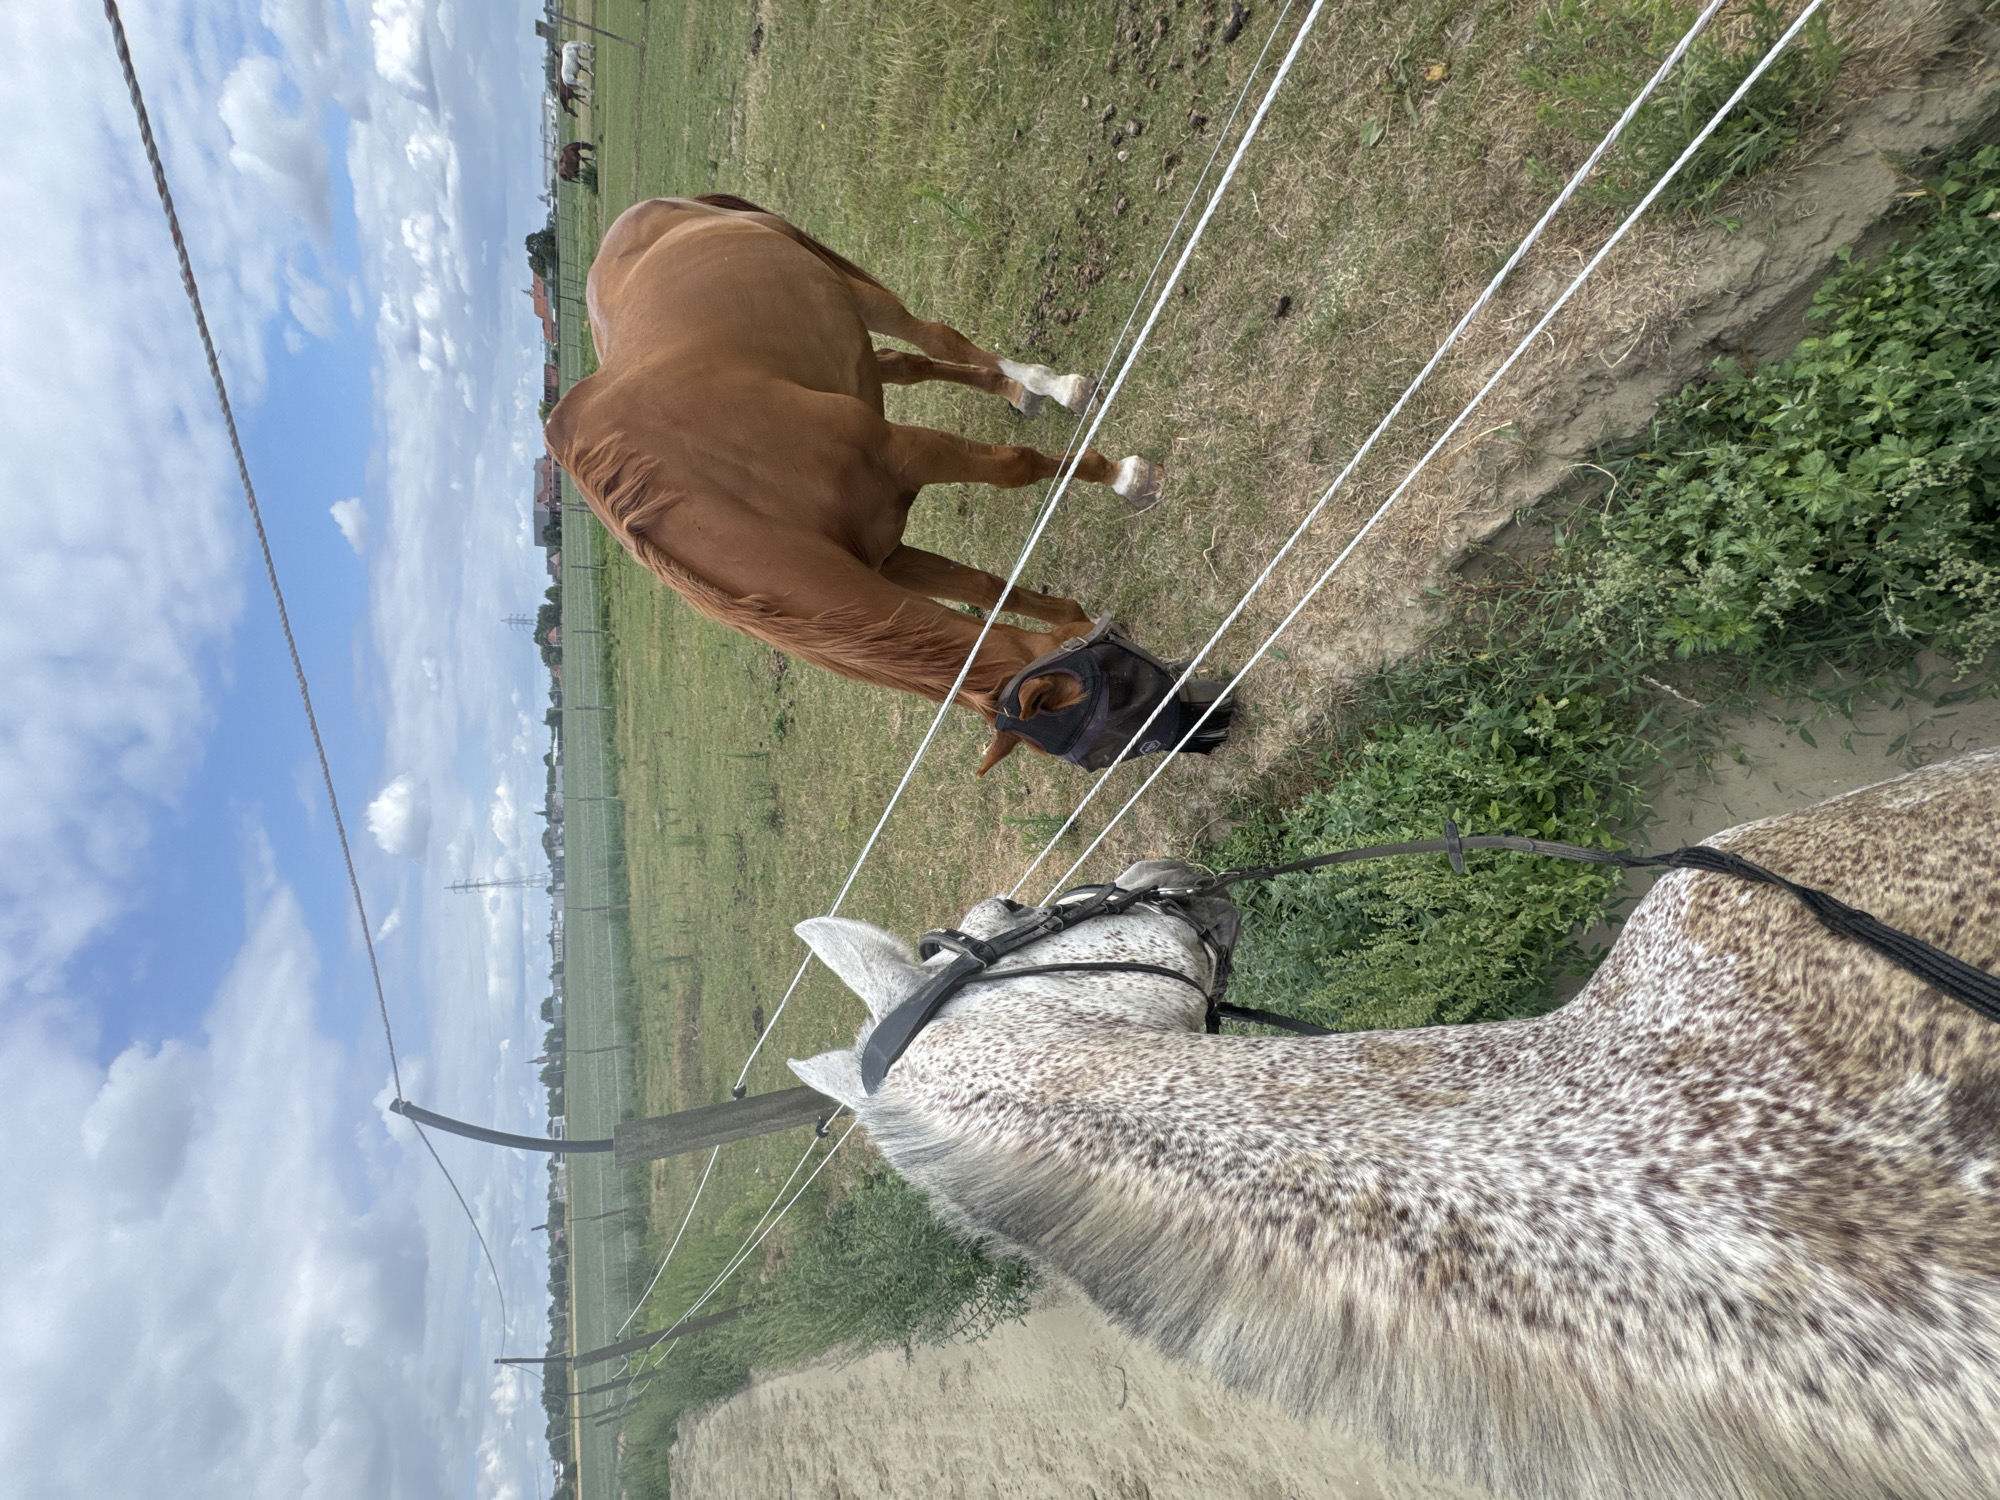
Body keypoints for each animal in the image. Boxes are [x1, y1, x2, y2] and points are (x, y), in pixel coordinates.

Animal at [545, 194, 1229, 774]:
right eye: (1119, 728)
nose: (1215, 726)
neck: (720, 495)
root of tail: (647, 211)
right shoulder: (887, 557)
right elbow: (986, 590)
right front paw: (1073, 614)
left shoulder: (907, 454)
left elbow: (1017, 467)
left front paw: (1127, 478)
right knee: (908, 362)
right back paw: (1021, 391)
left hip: (845, 283)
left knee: (933, 336)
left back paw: (1050, 385)